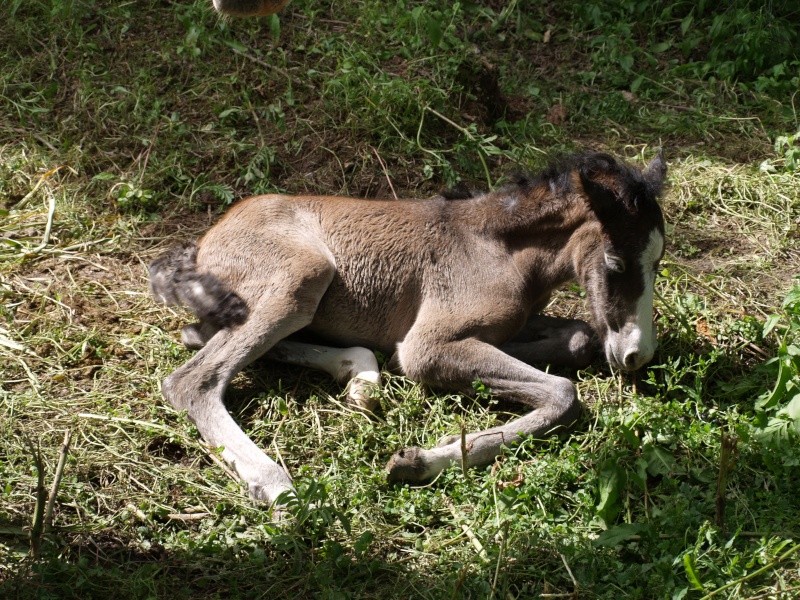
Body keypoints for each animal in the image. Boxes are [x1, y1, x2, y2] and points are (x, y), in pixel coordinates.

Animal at [152, 151, 668, 506]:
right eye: (616, 262)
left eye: (659, 261)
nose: (637, 356)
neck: (500, 250)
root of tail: (204, 241)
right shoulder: (427, 345)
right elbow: (563, 393)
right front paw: (418, 461)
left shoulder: (504, 328)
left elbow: (580, 339)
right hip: (302, 275)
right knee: (191, 380)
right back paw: (276, 485)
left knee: (197, 335)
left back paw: (359, 375)